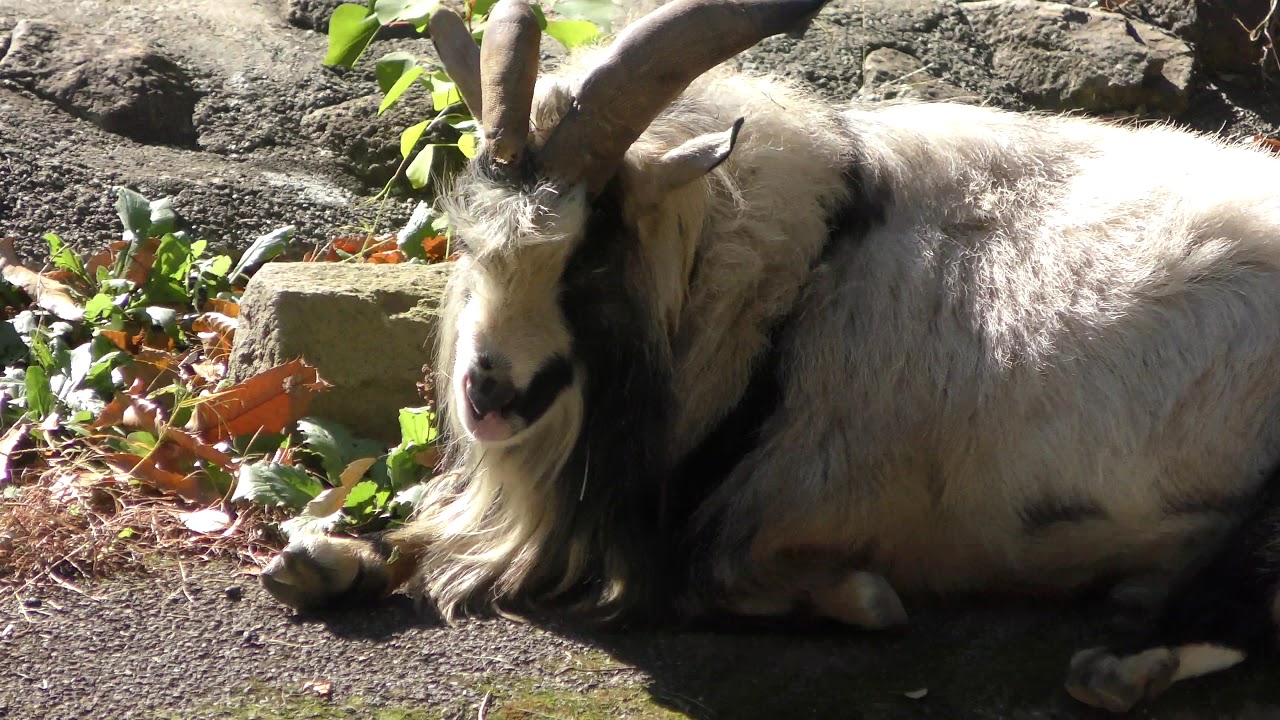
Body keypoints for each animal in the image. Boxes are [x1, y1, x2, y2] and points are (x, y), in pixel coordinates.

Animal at [260, 0, 1280, 711]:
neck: (784, 283)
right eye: (470, 239)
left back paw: (1121, 664)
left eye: (592, 251)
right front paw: (323, 559)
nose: (491, 396)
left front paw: (853, 595)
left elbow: (737, 577)